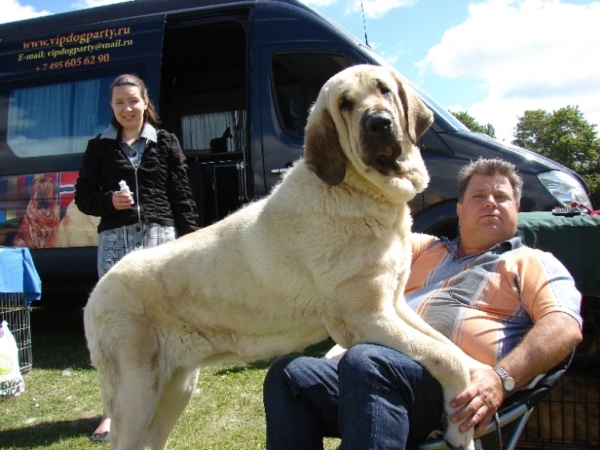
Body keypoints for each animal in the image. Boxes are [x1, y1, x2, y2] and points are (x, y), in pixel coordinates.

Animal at [85, 64, 474, 450]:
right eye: (345, 104)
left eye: (385, 89)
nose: (378, 122)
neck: (360, 190)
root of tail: (97, 291)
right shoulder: (365, 317)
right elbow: (445, 357)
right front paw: (462, 429)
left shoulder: (393, 305)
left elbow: (452, 350)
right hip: (138, 392)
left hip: (177, 387)